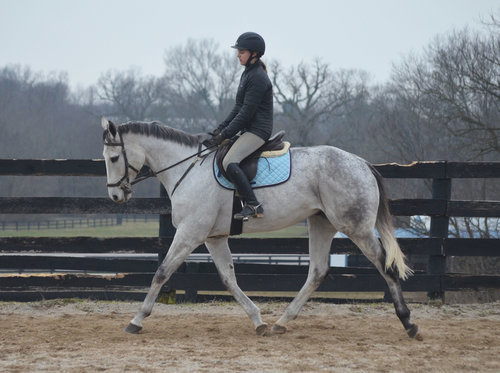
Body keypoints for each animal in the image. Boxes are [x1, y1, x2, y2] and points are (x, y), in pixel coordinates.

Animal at [101, 117, 418, 338]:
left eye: (114, 158)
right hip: (321, 223)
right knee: (317, 272)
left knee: (385, 266)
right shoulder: (214, 237)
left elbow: (162, 272)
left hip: (356, 228)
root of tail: (362, 163)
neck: (187, 169)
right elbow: (228, 279)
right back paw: (281, 322)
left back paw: (407, 321)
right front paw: (258, 320)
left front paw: (136, 320)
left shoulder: (190, 233)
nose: (115, 196)